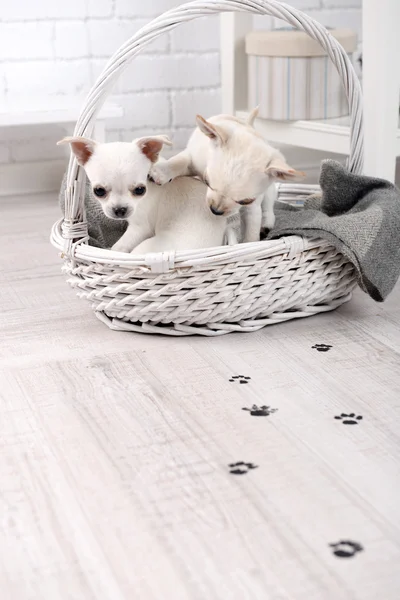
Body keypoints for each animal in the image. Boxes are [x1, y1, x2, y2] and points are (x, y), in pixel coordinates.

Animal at [58, 135, 228, 254]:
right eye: (98, 191)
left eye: (140, 190)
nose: (120, 210)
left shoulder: (140, 228)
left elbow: (120, 246)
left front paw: (116, 251)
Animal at [149, 108, 304, 241]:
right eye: (207, 182)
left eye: (245, 201)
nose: (215, 210)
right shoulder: (193, 158)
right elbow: (179, 161)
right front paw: (162, 170)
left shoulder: (252, 207)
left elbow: (251, 231)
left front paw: (250, 243)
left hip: (269, 192)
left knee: (267, 208)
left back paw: (266, 224)